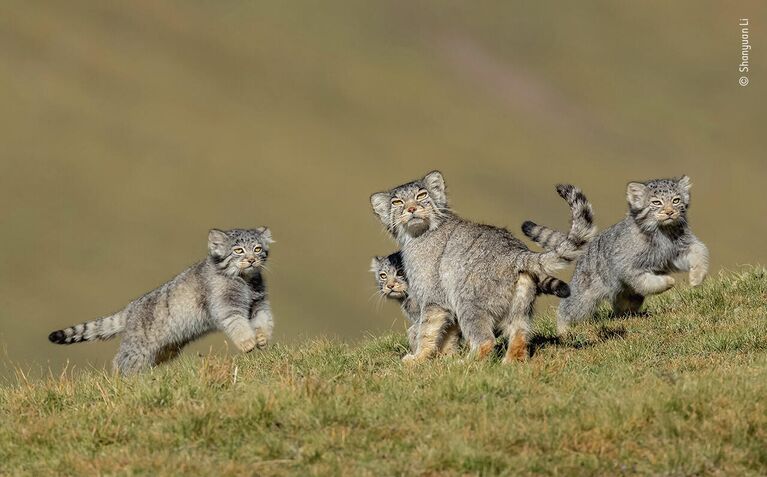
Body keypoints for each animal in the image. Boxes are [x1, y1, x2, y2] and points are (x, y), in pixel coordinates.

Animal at [48, 228, 276, 376]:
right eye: (238, 250)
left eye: (257, 249)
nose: (251, 260)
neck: (245, 281)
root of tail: (129, 309)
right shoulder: (226, 305)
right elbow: (238, 324)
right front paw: (248, 342)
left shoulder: (258, 304)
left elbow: (264, 320)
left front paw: (262, 338)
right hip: (138, 347)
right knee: (121, 362)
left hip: (164, 348)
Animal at [524, 177, 712, 332]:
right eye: (656, 202)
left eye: (676, 200)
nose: (670, 212)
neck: (662, 232)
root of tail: (588, 246)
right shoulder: (628, 267)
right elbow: (647, 282)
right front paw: (667, 281)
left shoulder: (679, 250)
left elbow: (699, 251)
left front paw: (696, 277)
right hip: (583, 296)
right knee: (567, 309)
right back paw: (563, 330)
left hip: (628, 296)